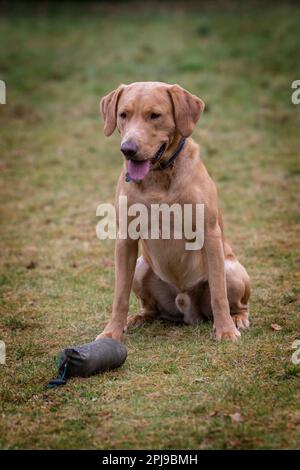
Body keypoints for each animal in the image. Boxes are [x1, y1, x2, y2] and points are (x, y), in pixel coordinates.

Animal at [97, 81, 250, 342]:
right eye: (123, 115)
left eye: (155, 115)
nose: (128, 149)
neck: (159, 175)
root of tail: (188, 308)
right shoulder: (125, 239)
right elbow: (120, 296)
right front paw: (112, 332)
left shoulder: (210, 234)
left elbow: (219, 293)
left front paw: (226, 330)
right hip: (140, 267)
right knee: (151, 308)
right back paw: (139, 318)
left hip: (231, 269)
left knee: (237, 302)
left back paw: (237, 319)